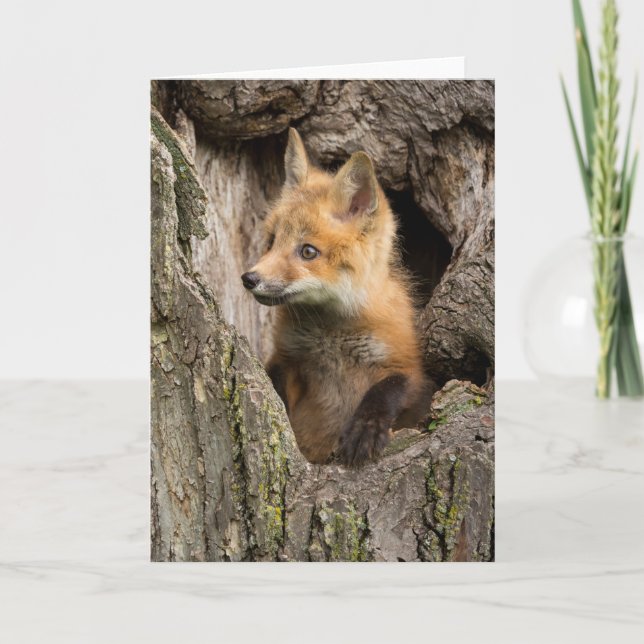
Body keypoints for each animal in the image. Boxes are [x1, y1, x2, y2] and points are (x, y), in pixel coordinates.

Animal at [241, 128, 428, 466]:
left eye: (308, 251)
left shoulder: (408, 365)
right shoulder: (287, 358)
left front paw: (366, 429)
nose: (249, 279)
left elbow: (387, 389)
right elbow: (276, 388)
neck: (331, 335)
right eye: (272, 240)